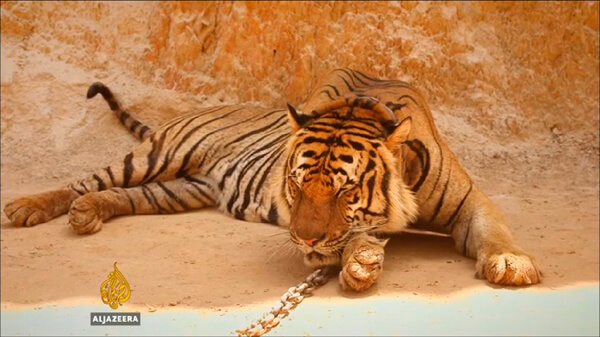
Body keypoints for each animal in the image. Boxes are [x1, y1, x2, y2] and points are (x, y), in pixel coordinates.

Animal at [2, 67, 540, 288]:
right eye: (297, 186)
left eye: (346, 190)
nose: (304, 238)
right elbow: (351, 240)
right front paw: (361, 262)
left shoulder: (470, 201)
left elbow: (494, 230)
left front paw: (511, 263)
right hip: (159, 154)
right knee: (86, 180)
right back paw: (28, 207)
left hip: (175, 190)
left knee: (119, 196)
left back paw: (87, 215)